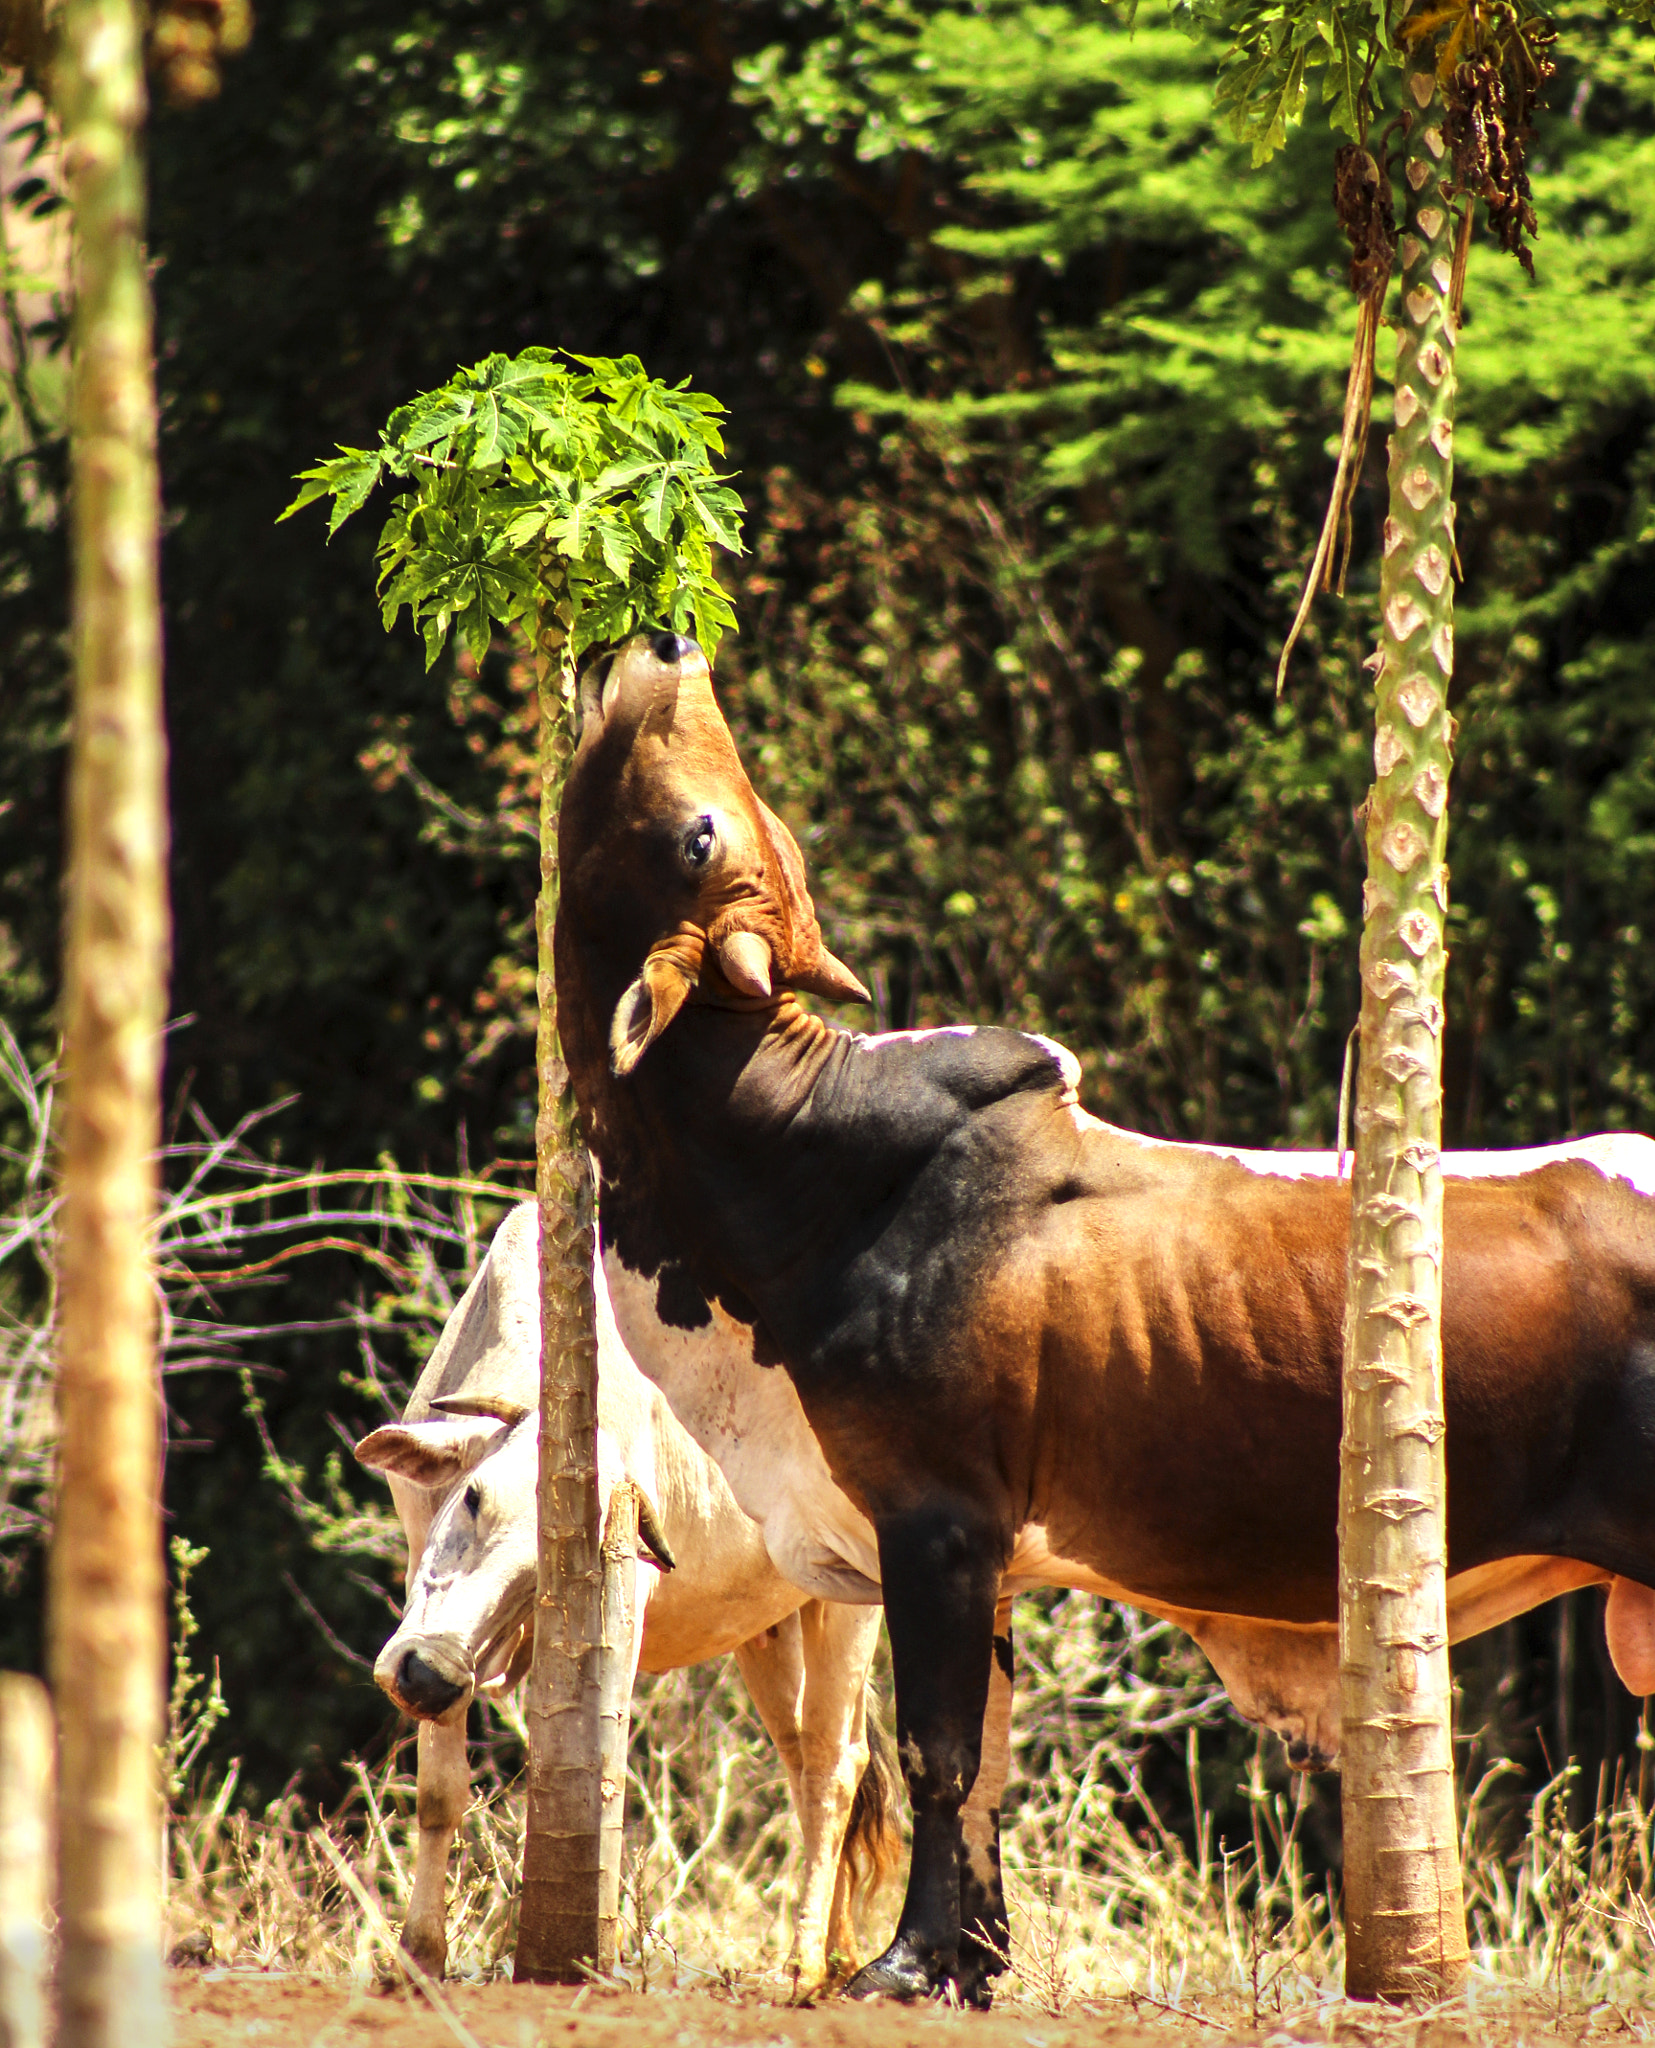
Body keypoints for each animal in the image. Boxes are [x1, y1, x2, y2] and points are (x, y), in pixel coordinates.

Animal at [356, 1196, 897, 1982]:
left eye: (547, 1572)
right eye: (473, 1498)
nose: (428, 1675)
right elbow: (437, 1792)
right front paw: (418, 1956)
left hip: (855, 1606)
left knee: (834, 1765)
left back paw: (802, 1966)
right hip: (771, 1629)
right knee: (806, 1760)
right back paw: (839, 1950)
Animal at [553, 626, 1655, 1998]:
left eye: (699, 833)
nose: (665, 639)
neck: (804, 1168)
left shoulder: (935, 1521)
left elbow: (937, 1755)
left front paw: (901, 1964)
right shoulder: (978, 1550)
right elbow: (983, 1765)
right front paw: (969, 1959)